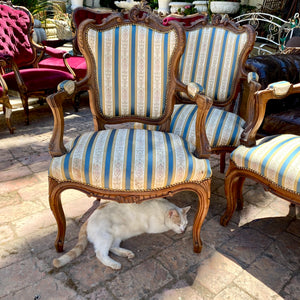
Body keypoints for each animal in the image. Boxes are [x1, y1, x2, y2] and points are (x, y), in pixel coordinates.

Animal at [52, 198, 190, 270]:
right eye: (179, 224)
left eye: (185, 223)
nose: (183, 230)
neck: (163, 210)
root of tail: (88, 219)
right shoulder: (155, 228)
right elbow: (167, 228)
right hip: (106, 236)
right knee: (100, 253)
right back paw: (114, 264)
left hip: (117, 236)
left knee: (112, 248)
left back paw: (127, 253)